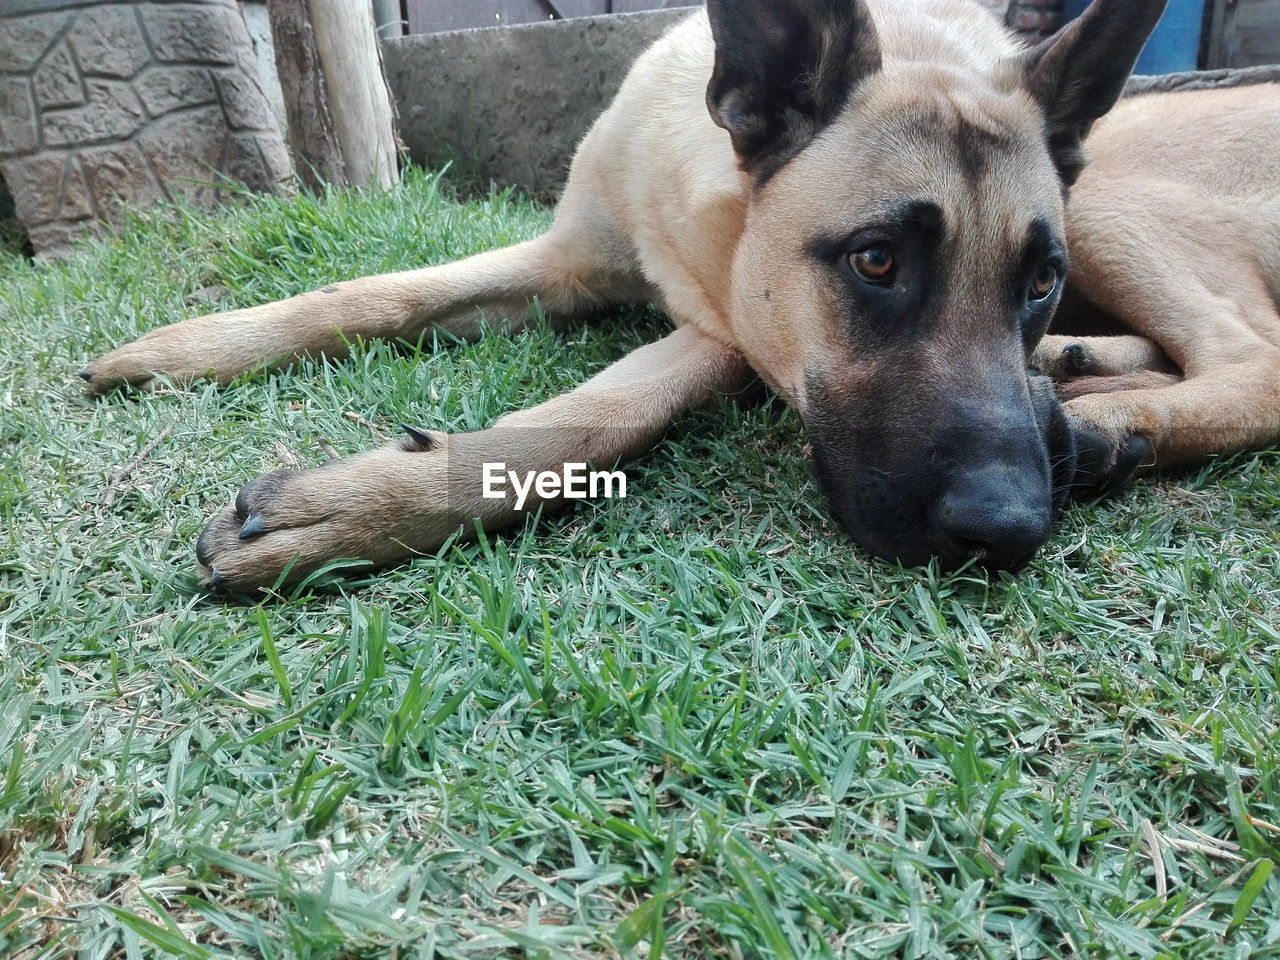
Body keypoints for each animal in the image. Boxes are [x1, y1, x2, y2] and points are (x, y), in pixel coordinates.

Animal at [80, 0, 1280, 599]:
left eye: (1036, 280)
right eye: (875, 262)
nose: (1010, 529)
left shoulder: (726, 329)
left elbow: (593, 418)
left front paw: (365, 505)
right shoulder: (566, 255)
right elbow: (372, 293)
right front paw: (194, 344)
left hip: (1112, 194)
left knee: (1250, 355)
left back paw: (1111, 427)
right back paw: (1080, 385)